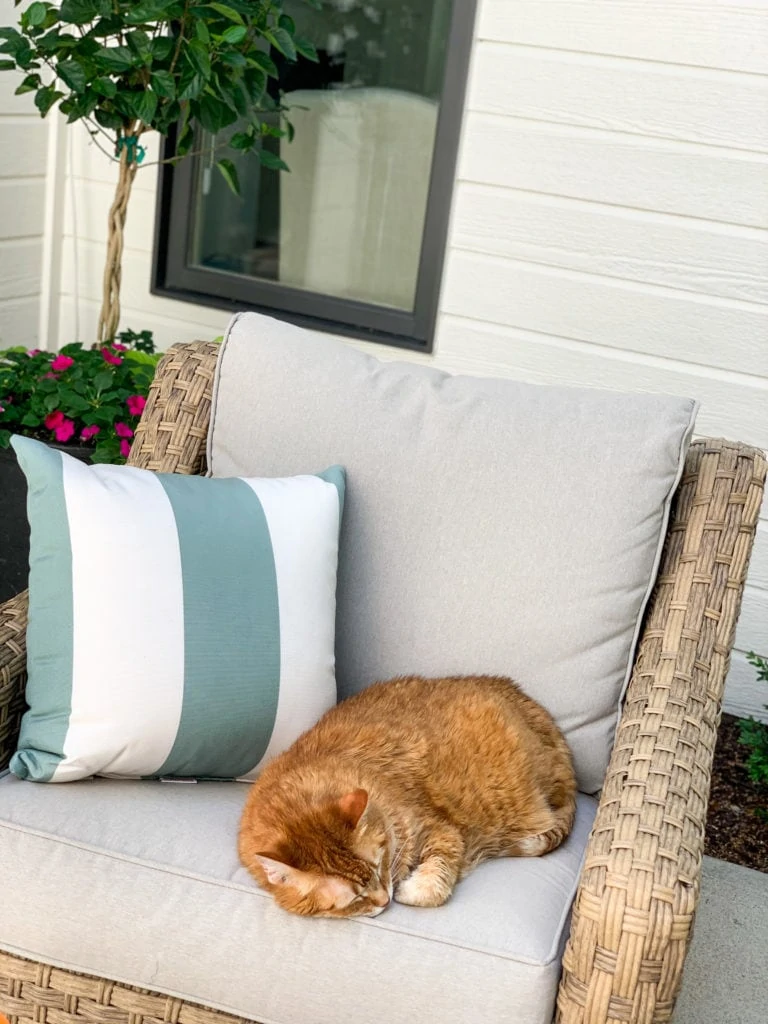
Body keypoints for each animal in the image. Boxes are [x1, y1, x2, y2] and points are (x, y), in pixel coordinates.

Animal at [240, 675, 577, 917]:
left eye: (379, 867)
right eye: (355, 897)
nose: (384, 900)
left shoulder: (440, 830)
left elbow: (434, 881)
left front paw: (410, 889)